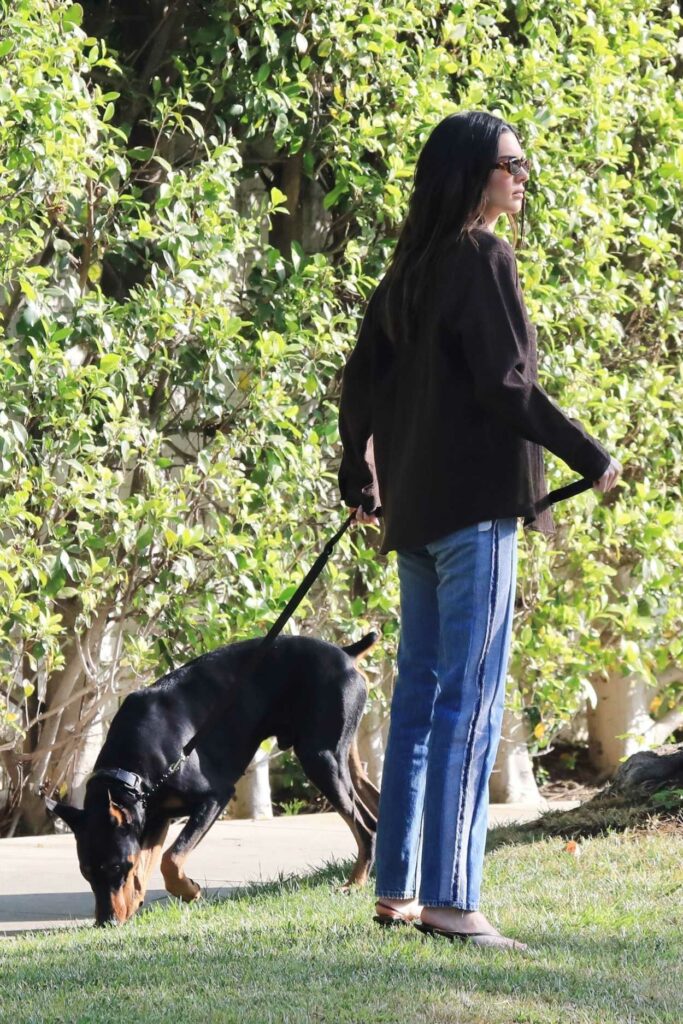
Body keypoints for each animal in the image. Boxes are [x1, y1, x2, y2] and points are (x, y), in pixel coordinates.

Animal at [48, 630, 378, 929]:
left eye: (116, 865)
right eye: (86, 871)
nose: (106, 921)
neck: (132, 773)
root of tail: (346, 654)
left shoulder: (214, 797)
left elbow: (170, 860)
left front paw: (190, 891)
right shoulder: (155, 817)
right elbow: (145, 865)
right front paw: (135, 902)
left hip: (319, 757)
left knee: (364, 827)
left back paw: (355, 883)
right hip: (340, 756)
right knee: (372, 807)